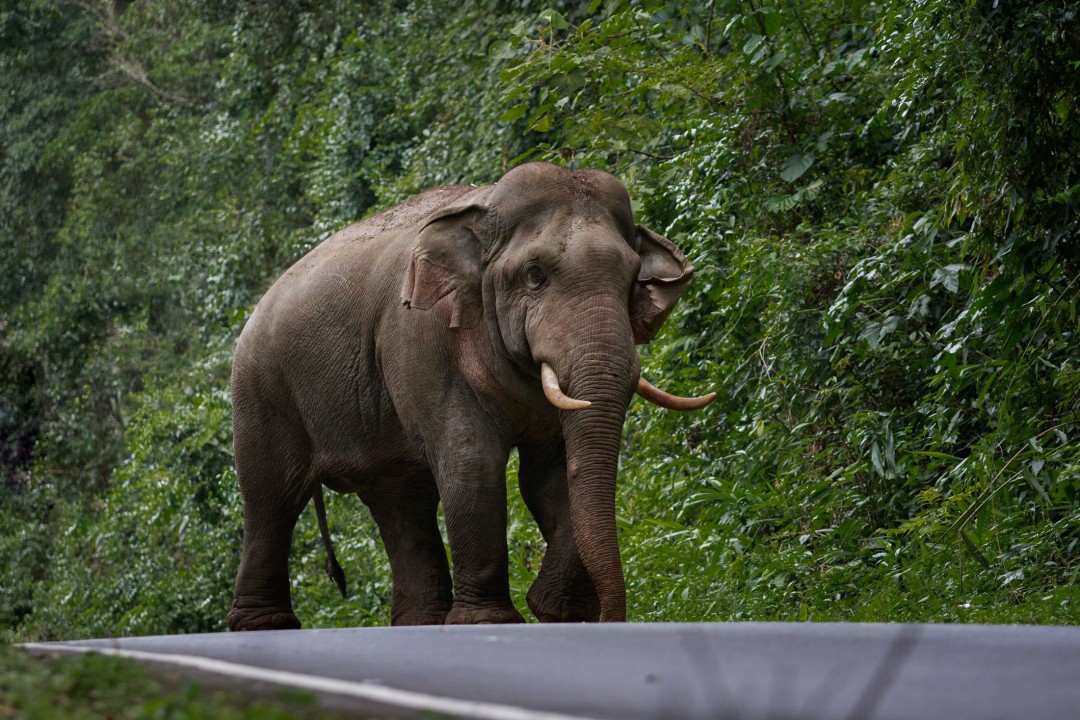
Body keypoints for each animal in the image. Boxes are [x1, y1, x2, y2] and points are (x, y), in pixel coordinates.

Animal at [227, 162, 714, 631]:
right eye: (535, 275)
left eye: (633, 279)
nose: (610, 620)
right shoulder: (425, 342)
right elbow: (471, 461)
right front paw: (491, 620)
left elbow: (550, 475)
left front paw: (557, 611)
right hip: (259, 389)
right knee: (273, 497)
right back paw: (265, 626)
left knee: (402, 501)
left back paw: (419, 624)